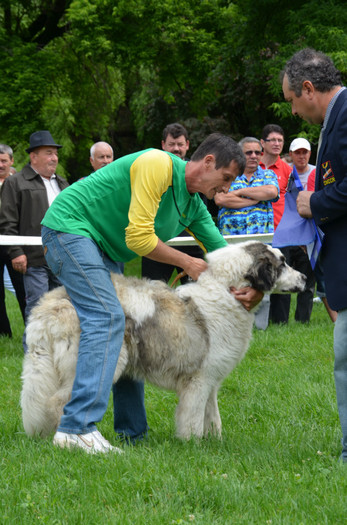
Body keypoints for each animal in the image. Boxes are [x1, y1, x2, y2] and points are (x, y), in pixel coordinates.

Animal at [20, 242, 306, 438]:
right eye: (281, 264)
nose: (304, 277)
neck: (227, 292)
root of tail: (51, 303)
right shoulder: (198, 380)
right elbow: (192, 418)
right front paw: (193, 446)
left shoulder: (212, 379)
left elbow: (213, 416)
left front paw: (216, 442)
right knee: (60, 402)